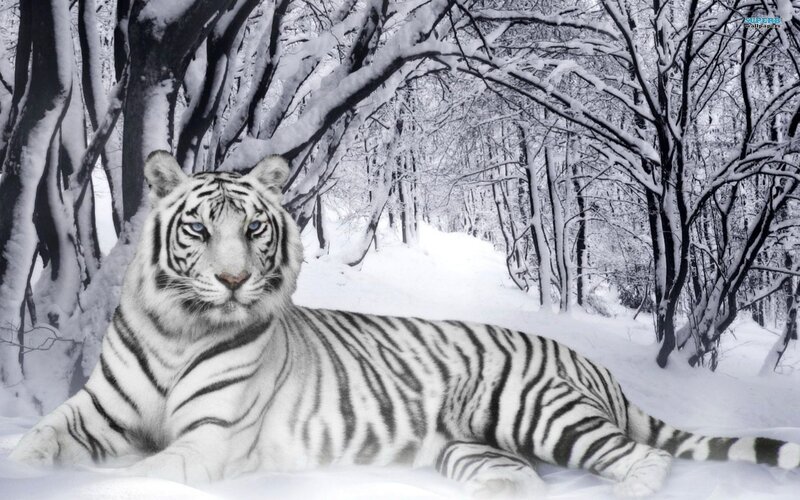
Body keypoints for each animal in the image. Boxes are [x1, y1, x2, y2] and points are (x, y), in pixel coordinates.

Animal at [9, 150, 800, 498]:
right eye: (199, 230)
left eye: (254, 230)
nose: (232, 280)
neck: (180, 330)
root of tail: (590, 362)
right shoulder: (95, 412)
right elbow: (39, 440)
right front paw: (25, 468)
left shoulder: (207, 440)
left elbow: (140, 472)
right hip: (473, 451)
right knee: (524, 479)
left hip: (538, 411)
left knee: (644, 461)